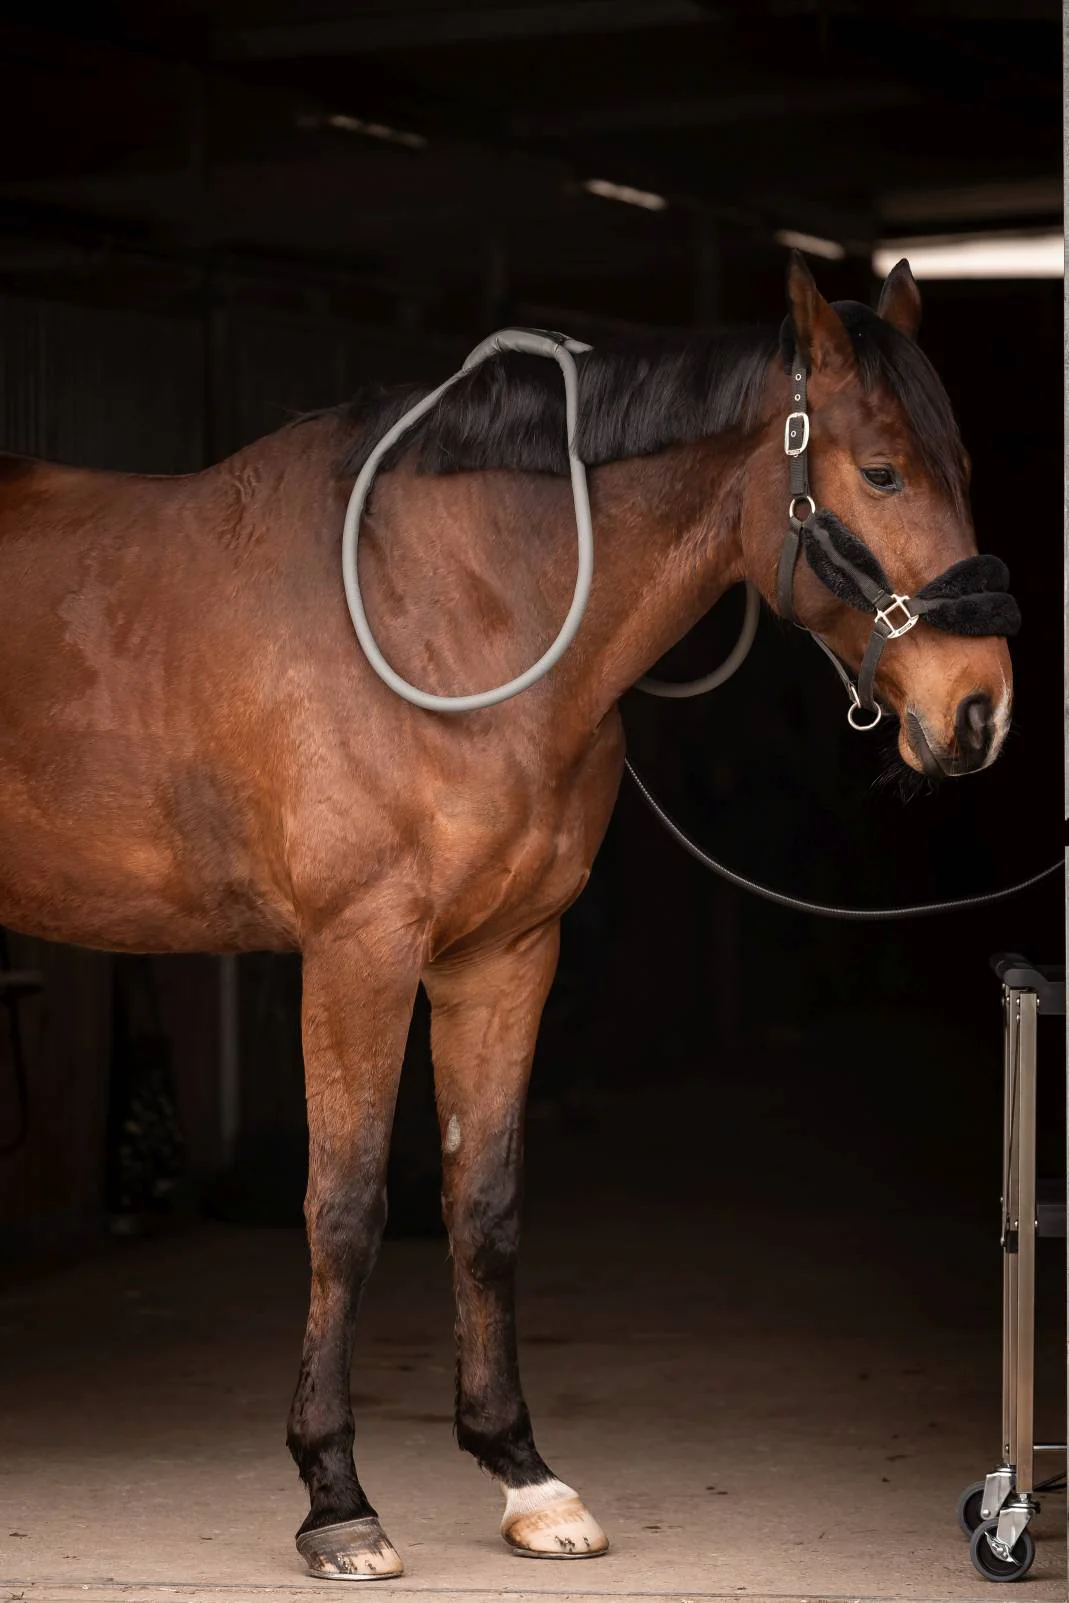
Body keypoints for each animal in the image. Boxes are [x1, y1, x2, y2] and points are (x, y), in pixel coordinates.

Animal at [0, 255, 1015, 1578]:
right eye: (884, 471)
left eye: (960, 465)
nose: (980, 708)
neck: (453, 614)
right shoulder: (360, 952)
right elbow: (344, 1209)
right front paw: (336, 1499)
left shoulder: (505, 957)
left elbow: (481, 1203)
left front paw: (522, 1474)